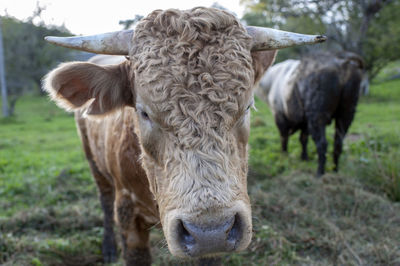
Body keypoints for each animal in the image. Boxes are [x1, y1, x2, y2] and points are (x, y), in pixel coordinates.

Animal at [43, 7, 324, 264]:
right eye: (144, 112)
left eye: (247, 107)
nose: (209, 232)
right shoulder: (128, 217)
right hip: (95, 164)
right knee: (104, 198)